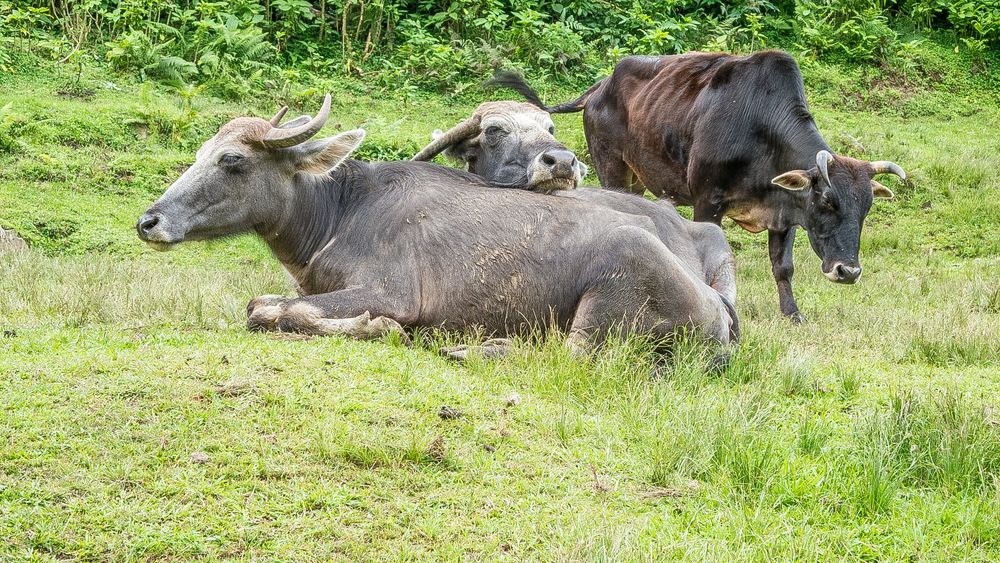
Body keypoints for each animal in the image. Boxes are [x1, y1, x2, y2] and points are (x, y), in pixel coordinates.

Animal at [492, 50, 908, 324]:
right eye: (826, 201)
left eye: (866, 209)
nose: (848, 271)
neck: (761, 131)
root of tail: (600, 87)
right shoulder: (707, 201)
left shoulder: (785, 213)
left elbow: (783, 267)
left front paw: (793, 315)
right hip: (612, 168)